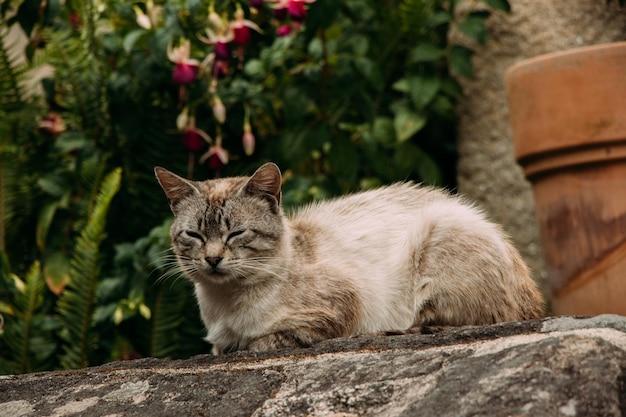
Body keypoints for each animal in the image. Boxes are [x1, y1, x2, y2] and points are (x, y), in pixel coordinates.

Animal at [154, 161, 544, 352]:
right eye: (194, 235)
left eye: (236, 233)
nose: (213, 259)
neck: (224, 305)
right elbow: (223, 347)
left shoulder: (339, 304)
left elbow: (269, 339)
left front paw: (251, 343)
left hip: (437, 234)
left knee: (445, 321)